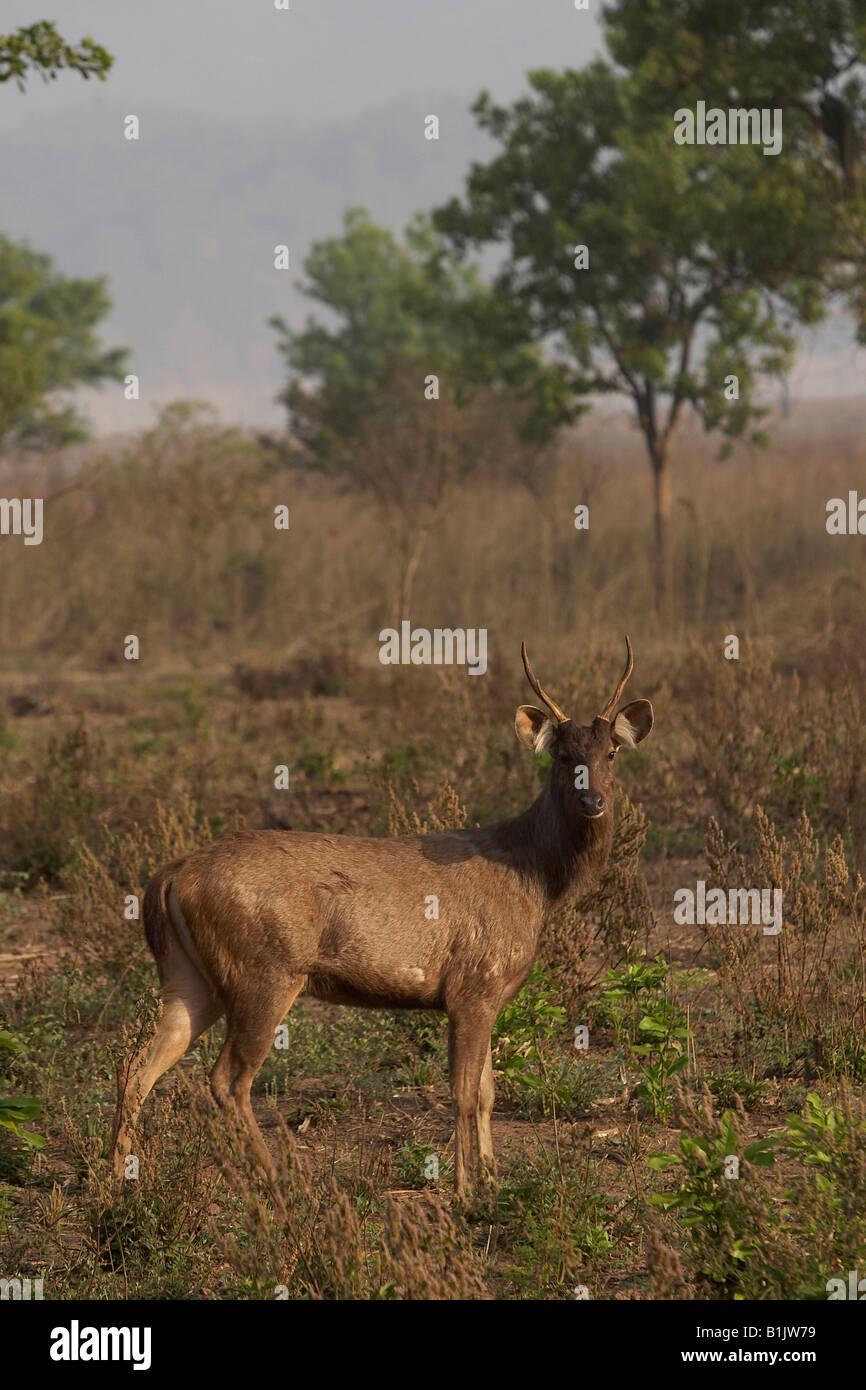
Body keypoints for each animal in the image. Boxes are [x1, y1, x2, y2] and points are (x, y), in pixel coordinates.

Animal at [113, 639, 650, 1195]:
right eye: (563, 756)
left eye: (611, 752)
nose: (593, 800)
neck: (534, 879)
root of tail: (169, 878)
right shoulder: (472, 985)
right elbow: (463, 1093)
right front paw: (465, 1190)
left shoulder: (490, 993)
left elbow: (486, 1093)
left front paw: (493, 1181)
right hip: (263, 969)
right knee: (227, 1079)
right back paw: (280, 1180)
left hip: (189, 973)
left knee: (137, 1064)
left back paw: (116, 1181)